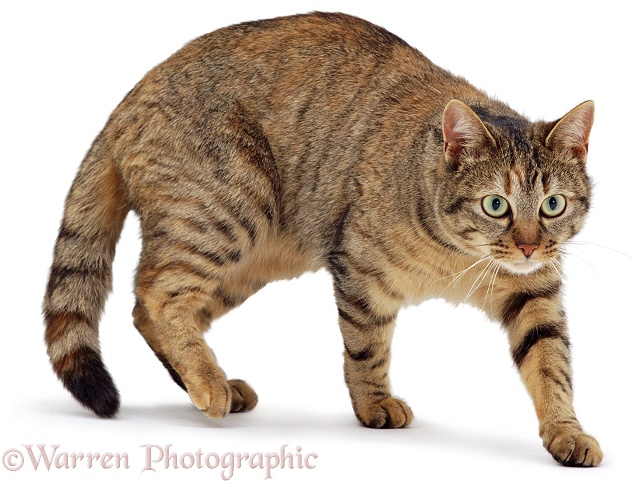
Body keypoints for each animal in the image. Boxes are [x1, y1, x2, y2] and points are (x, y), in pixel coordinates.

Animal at [43, 10, 600, 466]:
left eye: (553, 205)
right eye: (495, 205)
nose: (528, 245)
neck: (459, 257)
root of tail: (133, 93)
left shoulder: (535, 293)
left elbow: (552, 364)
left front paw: (566, 431)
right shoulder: (360, 269)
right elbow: (367, 348)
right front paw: (374, 403)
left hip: (254, 257)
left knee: (149, 308)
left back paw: (212, 378)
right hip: (226, 212)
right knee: (157, 291)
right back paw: (207, 383)